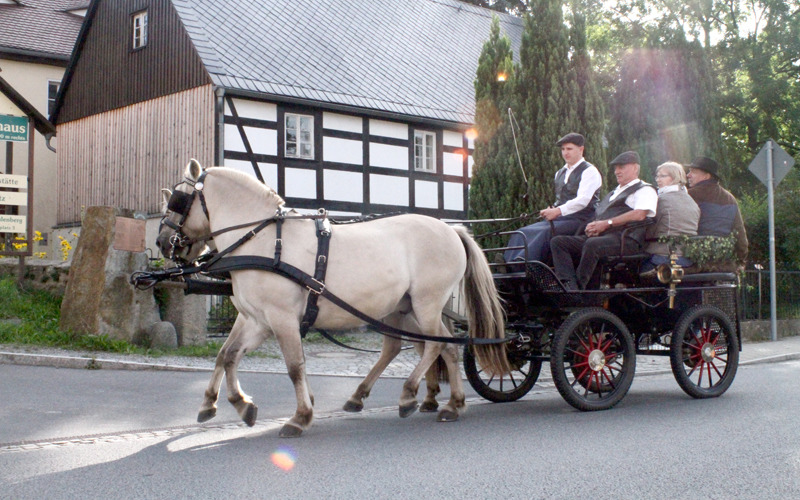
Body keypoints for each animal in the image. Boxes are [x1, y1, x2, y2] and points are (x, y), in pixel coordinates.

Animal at [155, 161, 506, 438]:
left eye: (179, 199)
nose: (162, 241)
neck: (265, 242)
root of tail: (452, 230)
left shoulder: (281, 318)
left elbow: (294, 366)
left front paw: (300, 416)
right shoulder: (256, 319)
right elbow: (226, 356)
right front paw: (229, 405)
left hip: (426, 304)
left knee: (436, 345)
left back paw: (411, 395)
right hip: (403, 308)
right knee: (429, 347)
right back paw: (446, 403)